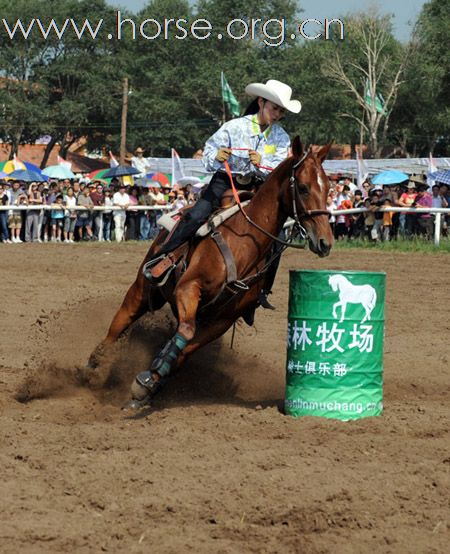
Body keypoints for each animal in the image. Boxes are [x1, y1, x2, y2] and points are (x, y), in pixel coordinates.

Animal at [89, 137, 332, 406]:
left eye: (328, 188)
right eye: (303, 187)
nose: (325, 242)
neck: (243, 242)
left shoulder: (222, 320)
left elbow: (184, 349)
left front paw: (150, 380)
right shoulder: (188, 288)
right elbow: (185, 332)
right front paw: (148, 378)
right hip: (142, 289)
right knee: (120, 322)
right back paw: (96, 364)